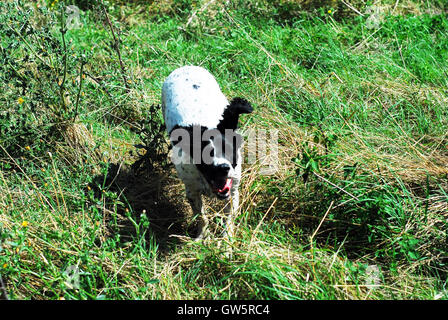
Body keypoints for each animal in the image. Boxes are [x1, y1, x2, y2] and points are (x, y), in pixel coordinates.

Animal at [162, 66, 254, 239]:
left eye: (229, 150)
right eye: (204, 153)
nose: (223, 168)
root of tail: (187, 67)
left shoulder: (233, 192)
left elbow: (228, 219)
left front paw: (226, 242)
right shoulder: (191, 190)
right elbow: (201, 216)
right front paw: (201, 237)